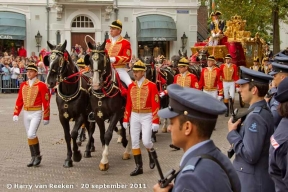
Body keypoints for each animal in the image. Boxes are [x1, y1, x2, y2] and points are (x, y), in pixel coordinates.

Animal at [83, 40, 128, 171]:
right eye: (90, 60)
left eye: (103, 60)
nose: (95, 84)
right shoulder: (98, 116)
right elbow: (102, 136)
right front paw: (104, 157)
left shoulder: (116, 113)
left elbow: (108, 135)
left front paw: (104, 160)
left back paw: (126, 150)